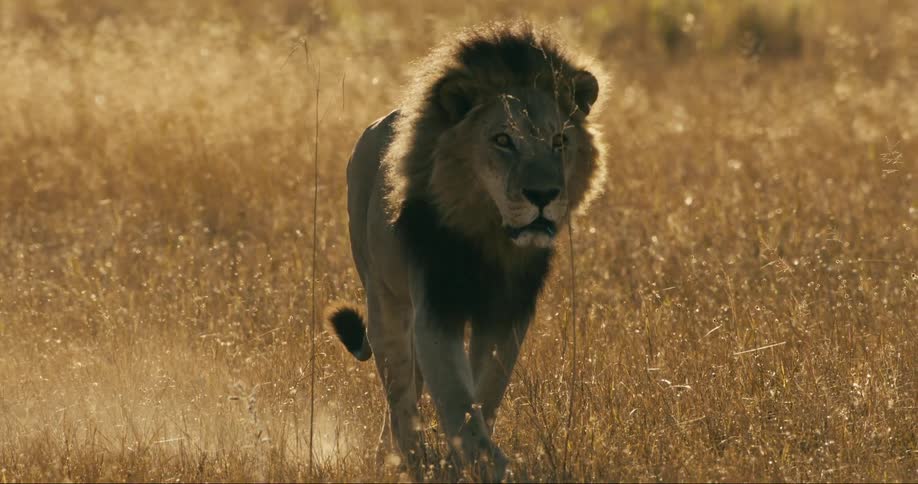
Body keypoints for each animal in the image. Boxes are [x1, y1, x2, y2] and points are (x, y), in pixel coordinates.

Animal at [328, 21, 607, 480]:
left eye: (558, 141)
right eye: (503, 139)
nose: (543, 195)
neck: (490, 237)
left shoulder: (509, 312)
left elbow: (485, 391)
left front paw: (468, 457)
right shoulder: (436, 307)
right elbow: (456, 397)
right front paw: (483, 463)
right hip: (384, 297)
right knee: (399, 391)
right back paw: (409, 457)